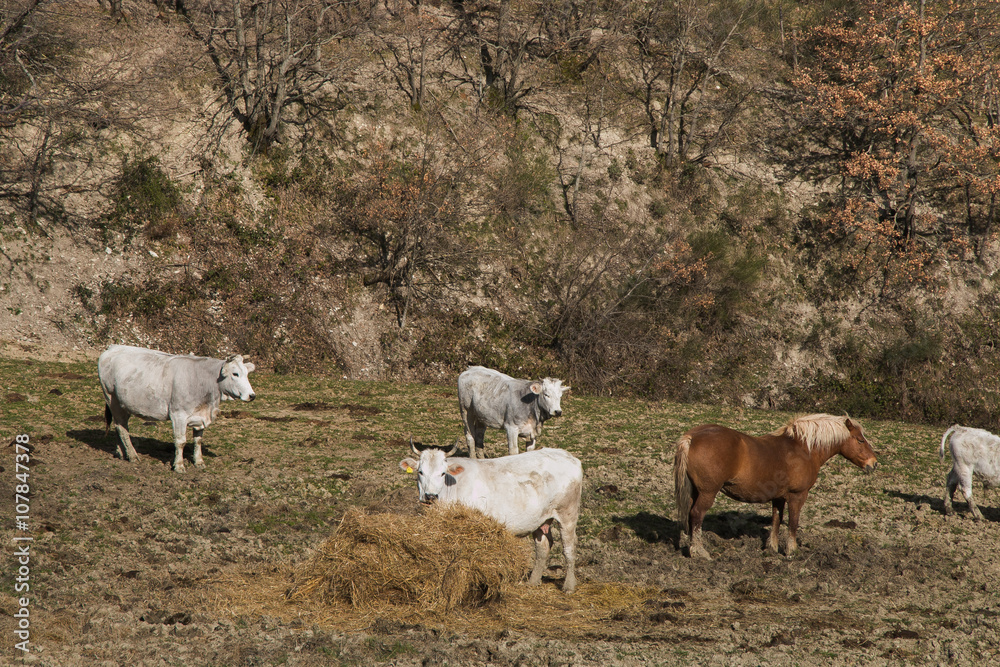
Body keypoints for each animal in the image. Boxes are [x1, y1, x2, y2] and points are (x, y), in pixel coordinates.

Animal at [673, 414, 877, 559]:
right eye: (860, 440)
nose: (873, 463)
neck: (803, 448)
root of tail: (691, 437)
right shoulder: (797, 496)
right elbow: (793, 522)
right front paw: (791, 551)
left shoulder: (779, 498)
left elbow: (776, 520)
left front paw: (772, 548)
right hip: (707, 493)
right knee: (696, 514)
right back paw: (699, 551)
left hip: (694, 491)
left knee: (690, 515)